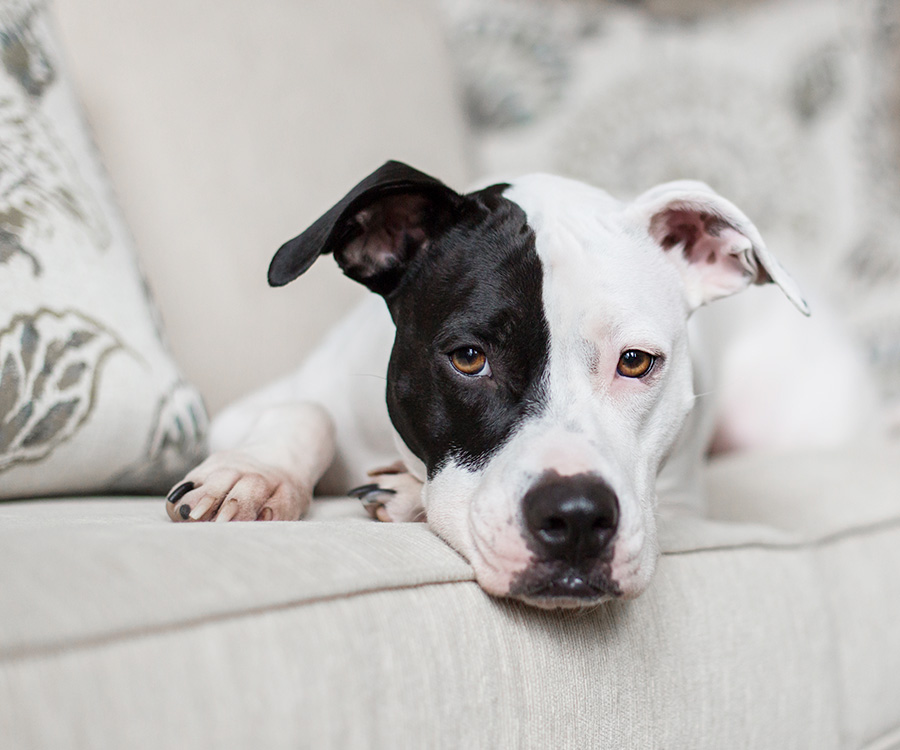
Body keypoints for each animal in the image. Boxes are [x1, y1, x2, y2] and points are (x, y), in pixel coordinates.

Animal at [163, 160, 872, 612]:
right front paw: (253, 475)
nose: (577, 517)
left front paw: (405, 494)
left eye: (636, 362)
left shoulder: (681, 501)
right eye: (469, 358)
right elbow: (308, 409)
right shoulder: (245, 409)